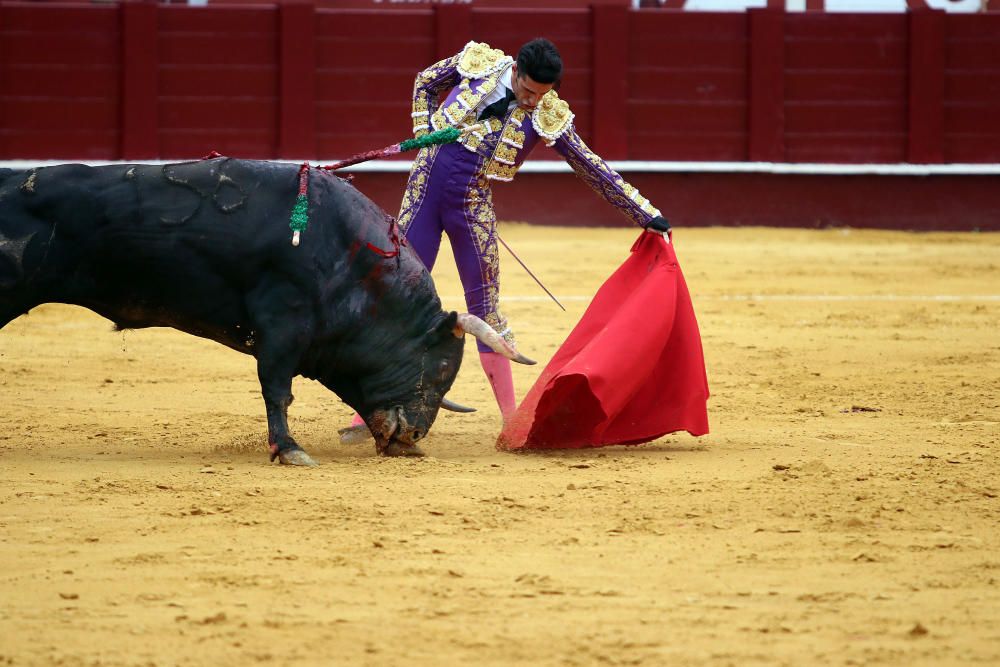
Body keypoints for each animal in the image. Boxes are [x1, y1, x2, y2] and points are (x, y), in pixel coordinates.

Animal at [0, 160, 532, 468]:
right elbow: (277, 389)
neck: (354, 264)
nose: (415, 436)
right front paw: (289, 449)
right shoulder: (282, 323)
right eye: (441, 367)